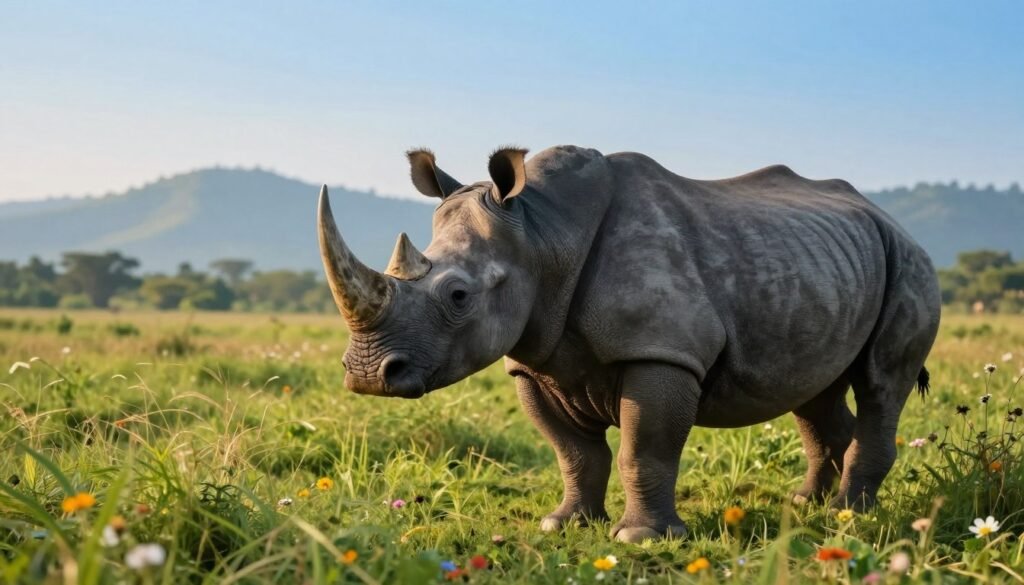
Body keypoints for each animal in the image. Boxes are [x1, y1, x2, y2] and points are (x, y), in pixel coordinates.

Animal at [316, 145, 940, 543]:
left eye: (459, 295)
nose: (368, 375)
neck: (541, 234)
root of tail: (888, 219)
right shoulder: (534, 361)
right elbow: (574, 452)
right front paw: (564, 525)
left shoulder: (662, 350)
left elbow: (646, 448)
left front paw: (642, 539)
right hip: (826, 265)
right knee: (814, 392)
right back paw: (805, 506)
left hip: (909, 262)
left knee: (882, 382)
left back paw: (849, 519)